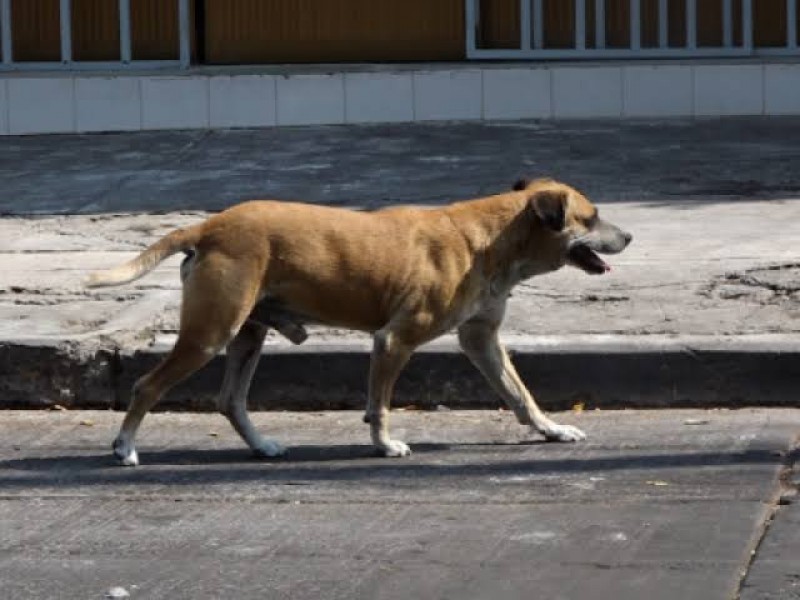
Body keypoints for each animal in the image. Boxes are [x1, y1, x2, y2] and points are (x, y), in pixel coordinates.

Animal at [86, 176, 632, 466]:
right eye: (591, 217)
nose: (628, 237)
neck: (493, 237)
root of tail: (210, 224)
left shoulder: (482, 341)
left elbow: (521, 395)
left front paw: (551, 430)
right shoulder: (394, 342)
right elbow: (380, 405)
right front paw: (384, 443)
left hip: (248, 334)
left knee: (230, 399)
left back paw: (261, 445)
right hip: (210, 334)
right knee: (147, 386)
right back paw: (125, 446)